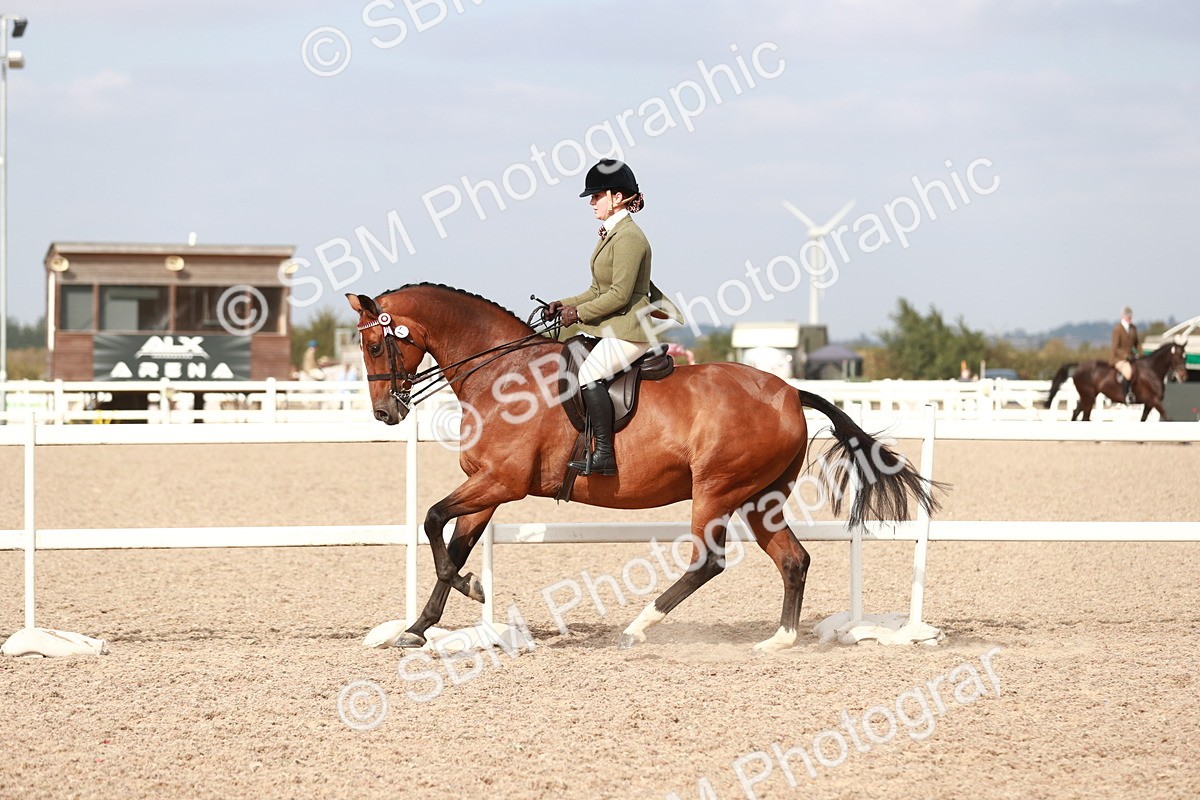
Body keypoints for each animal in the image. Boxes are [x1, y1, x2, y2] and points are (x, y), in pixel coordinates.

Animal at [346, 283, 941, 653]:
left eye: (374, 345)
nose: (385, 413)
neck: (502, 375)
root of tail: (791, 392)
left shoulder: (501, 482)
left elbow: (431, 520)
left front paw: (469, 591)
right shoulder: (487, 486)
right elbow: (454, 540)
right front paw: (419, 627)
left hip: (716, 491)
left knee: (708, 562)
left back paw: (637, 627)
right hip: (759, 499)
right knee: (793, 560)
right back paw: (779, 640)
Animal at [1044, 341, 1188, 421]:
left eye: (1185, 357)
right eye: (1178, 357)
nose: (1184, 377)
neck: (1151, 371)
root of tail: (1080, 365)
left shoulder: (1149, 403)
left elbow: (1143, 420)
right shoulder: (1153, 400)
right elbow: (1168, 418)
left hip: (1088, 397)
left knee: (1077, 412)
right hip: (1088, 397)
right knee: (1084, 416)